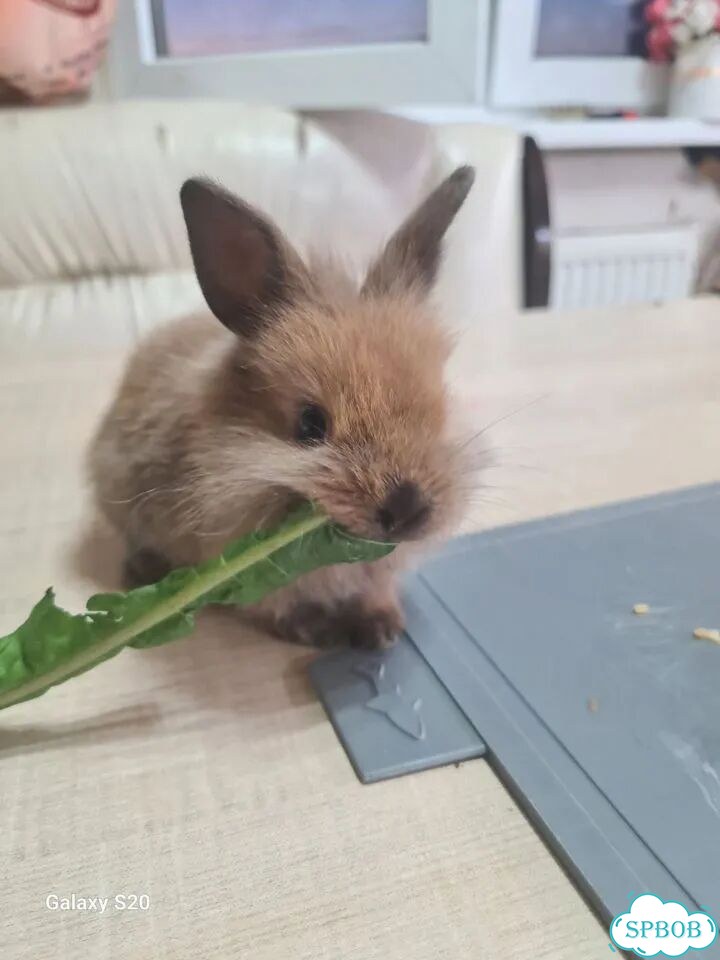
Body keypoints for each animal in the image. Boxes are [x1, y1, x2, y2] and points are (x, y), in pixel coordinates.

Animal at [88, 165, 476, 650]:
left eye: (438, 404)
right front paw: (317, 630)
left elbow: (376, 590)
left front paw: (382, 629)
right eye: (310, 424)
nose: (408, 510)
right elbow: (281, 607)